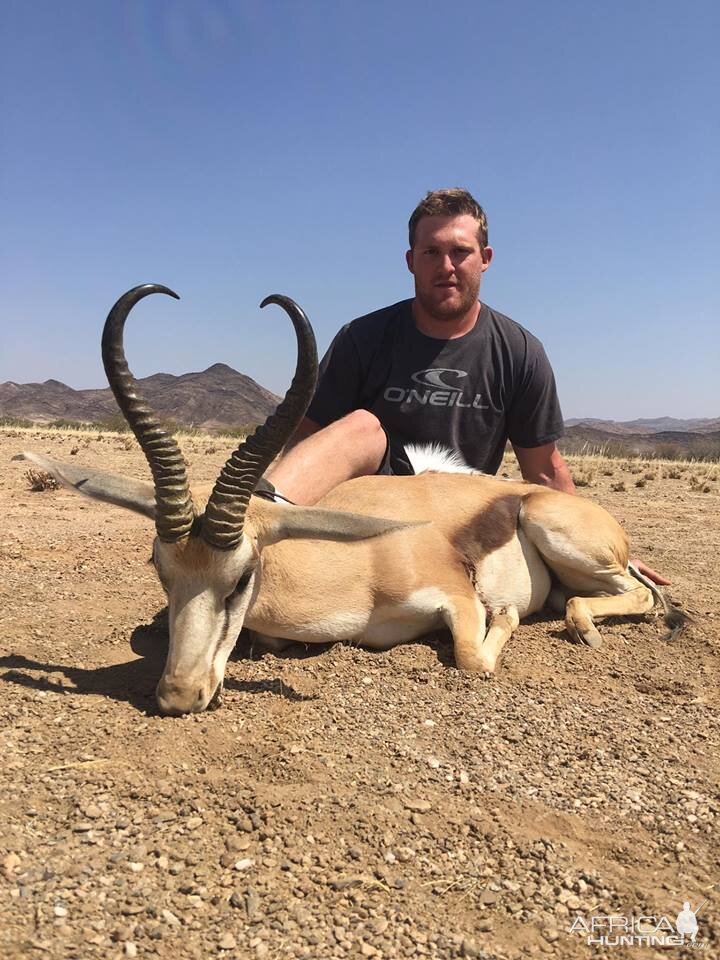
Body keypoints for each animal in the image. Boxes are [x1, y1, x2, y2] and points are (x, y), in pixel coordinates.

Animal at [21, 284, 688, 712]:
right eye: (159, 569)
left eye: (241, 577)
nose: (177, 697)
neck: (359, 566)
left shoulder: (454, 597)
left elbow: (476, 655)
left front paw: (504, 612)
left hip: (555, 527)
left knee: (637, 595)